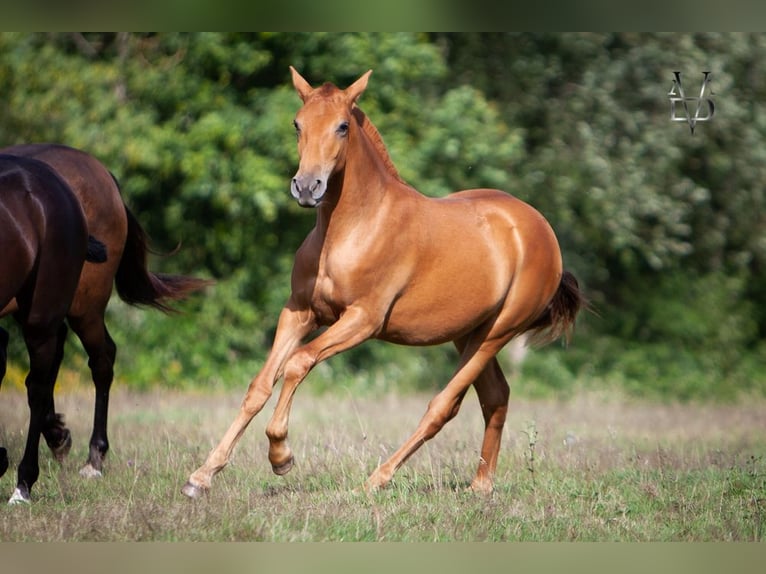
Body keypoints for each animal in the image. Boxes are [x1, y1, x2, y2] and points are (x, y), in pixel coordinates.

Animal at [182, 68, 585, 499]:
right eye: (297, 123)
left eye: (342, 126)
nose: (307, 187)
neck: (352, 229)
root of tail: (538, 228)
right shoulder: (300, 312)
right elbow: (259, 385)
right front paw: (201, 476)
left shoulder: (363, 320)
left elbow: (298, 363)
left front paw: (281, 456)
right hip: (469, 332)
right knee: (496, 397)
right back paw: (480, 487)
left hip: (497, 332)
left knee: (443, 406)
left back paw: (375, 480)